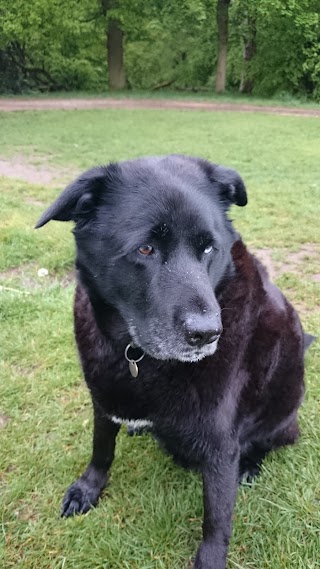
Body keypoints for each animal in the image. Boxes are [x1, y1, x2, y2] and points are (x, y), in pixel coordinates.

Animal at [36, 155, 312, 568]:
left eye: (210, 249)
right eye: (145, 249)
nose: (208, 334)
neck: (135, 352)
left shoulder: (220, 445)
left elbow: (217, 518)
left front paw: (210, 559)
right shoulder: (103, 397)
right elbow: (102, 448)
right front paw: (88, 488)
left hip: (283, 406)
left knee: (274, 438)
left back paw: (250, 463)